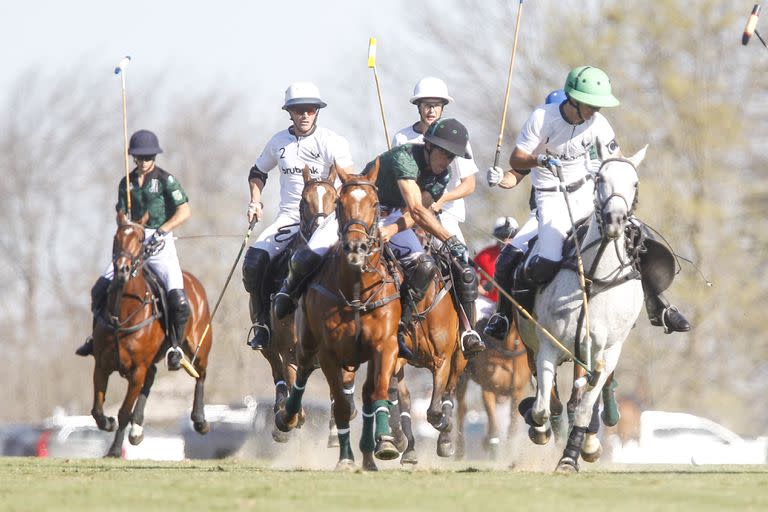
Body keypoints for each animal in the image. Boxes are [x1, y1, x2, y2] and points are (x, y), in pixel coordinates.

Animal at [91, 211, 213, 456]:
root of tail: (192, 280)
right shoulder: (101, 364)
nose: (122, 269)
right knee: (153, 375)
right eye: (116, 238)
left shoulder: (137, 370)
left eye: (140, 240)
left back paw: (200, 420)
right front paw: (108, 423)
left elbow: (123, 412)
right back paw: (137, 429)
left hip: (200, 343)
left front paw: (115, 450)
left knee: (200, 373)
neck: (122, 314)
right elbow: (97, 410)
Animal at [516, 144, 648, 472]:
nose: (615, 220)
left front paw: (573, 455)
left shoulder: (607, 350)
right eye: (600, 178)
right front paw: (538, 425)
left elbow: (586, 405)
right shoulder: (547, 344)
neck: (594, 278)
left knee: (588, 396)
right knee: (552, 399)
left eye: (634, 183)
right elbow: (543, 406)